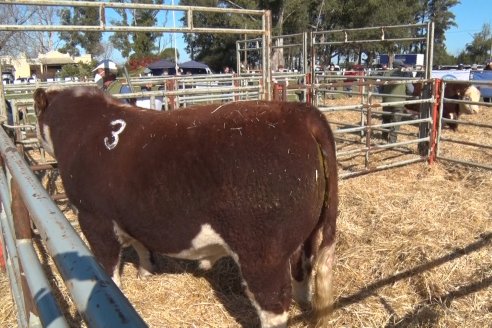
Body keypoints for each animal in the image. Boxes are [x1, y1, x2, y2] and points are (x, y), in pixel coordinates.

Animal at [33, 87, 338, 328]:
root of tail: (297, 112)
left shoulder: (94, 219)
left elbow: (106, 271)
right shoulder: (132, 217)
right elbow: (141, 245)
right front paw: (146, 272)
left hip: (263, 253)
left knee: (273, 305)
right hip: (306, 234)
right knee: (303, 269)